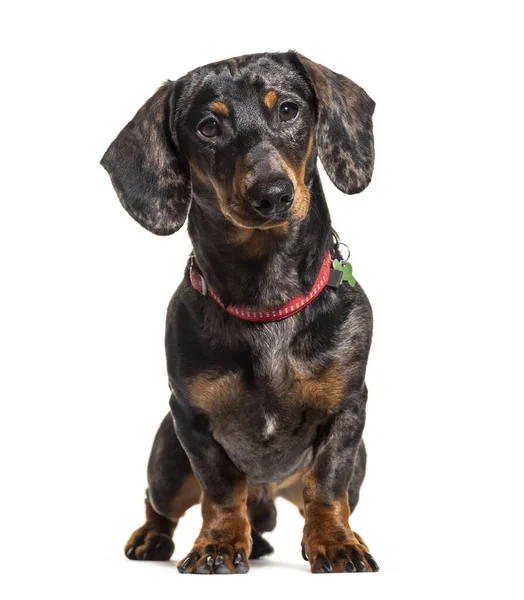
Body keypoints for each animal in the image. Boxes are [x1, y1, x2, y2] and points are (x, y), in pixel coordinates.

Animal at [101, 50, 376, 572]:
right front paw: (218, 545)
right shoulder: (192, 421)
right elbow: (223, 490)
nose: (272, 194)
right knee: (160, 502)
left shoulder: (347, 413)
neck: (266, 299)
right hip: (167, 463)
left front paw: (336, 542)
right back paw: (153, 537)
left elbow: (327, 486)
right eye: (209, 126)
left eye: (288, 110)